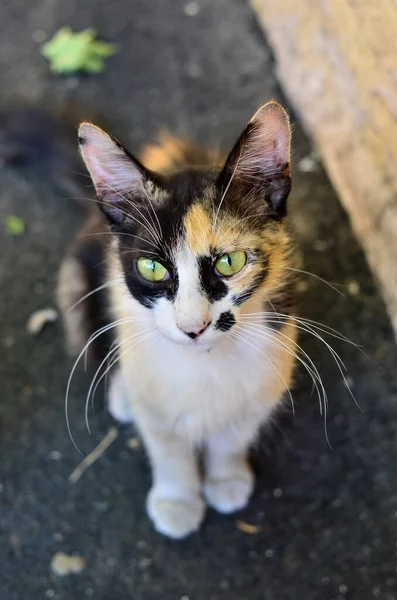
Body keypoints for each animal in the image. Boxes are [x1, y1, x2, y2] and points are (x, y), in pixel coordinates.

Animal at [58, 98, 296, 540]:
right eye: (152, 268)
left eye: (229, 262)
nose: (192, 327)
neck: (205, 364)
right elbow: (166, 446)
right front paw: (177, 501)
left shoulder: (268, 373)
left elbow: (232, 435)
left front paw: (226, 480)